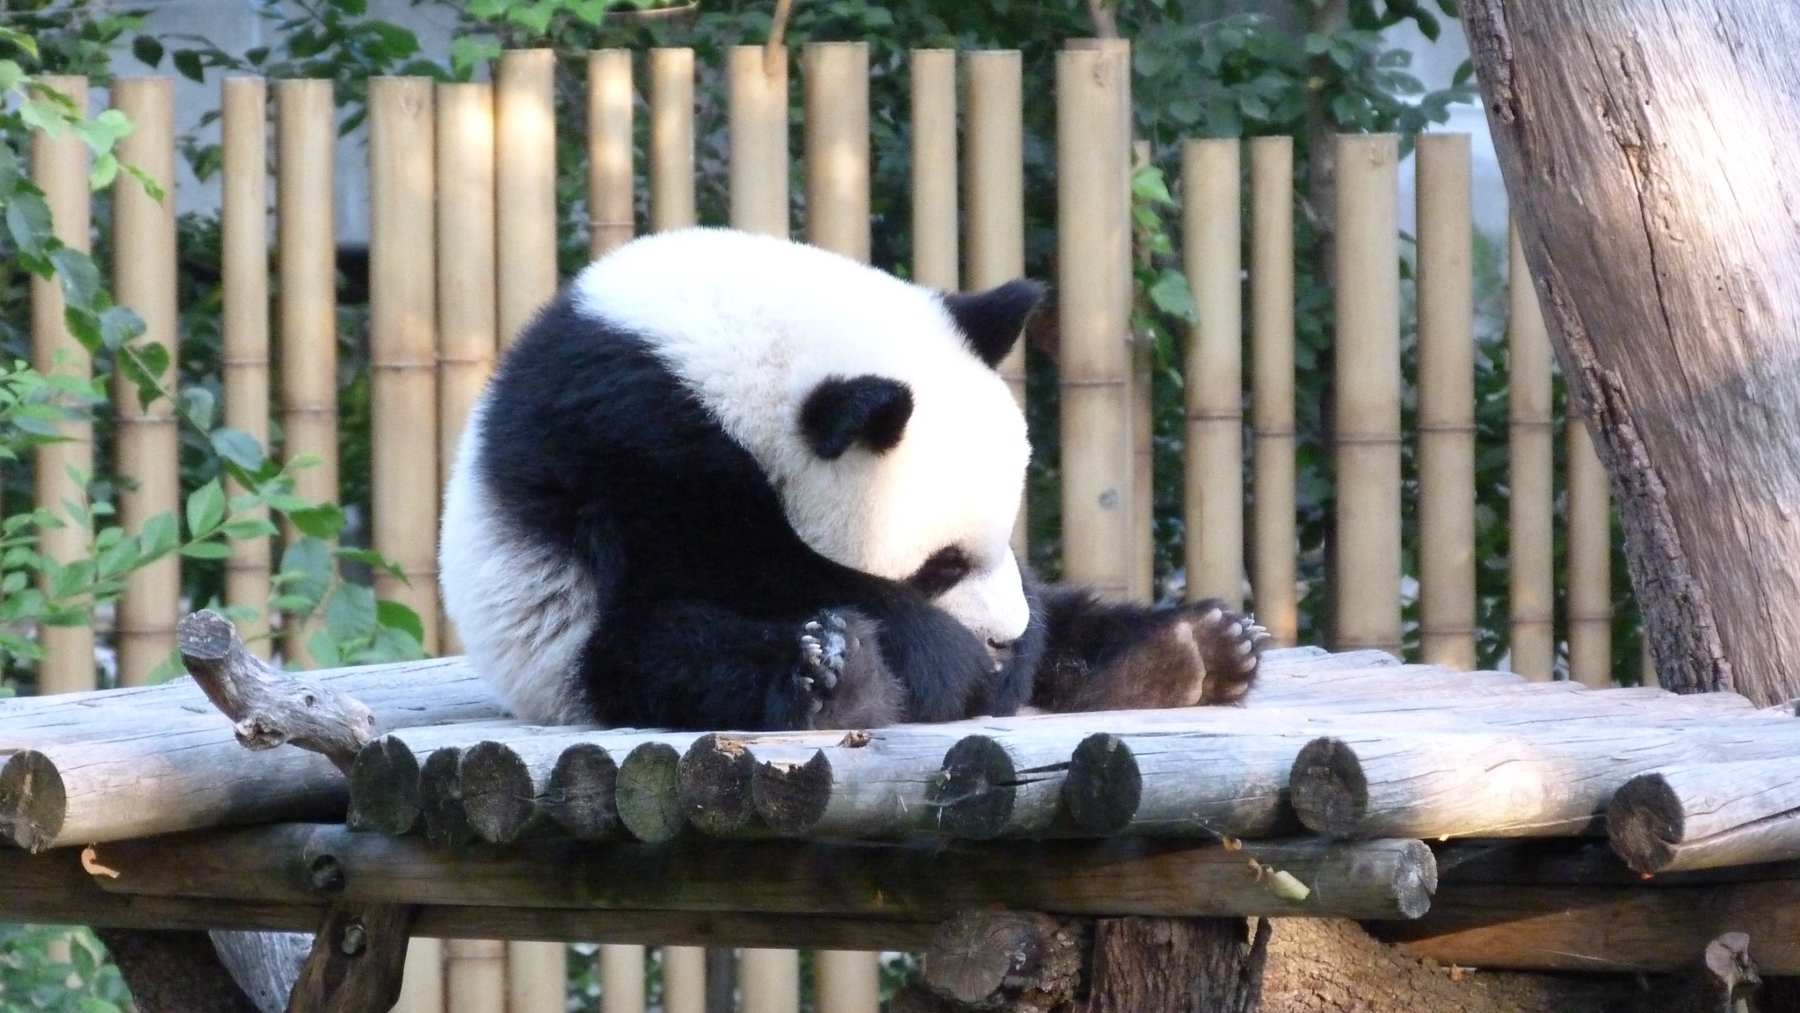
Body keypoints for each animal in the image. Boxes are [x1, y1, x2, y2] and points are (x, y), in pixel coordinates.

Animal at [442, 228, 1274, 730]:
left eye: (1002, 533)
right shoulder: (628, 440)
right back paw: (839, 678)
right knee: (666, 655)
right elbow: (734, 566)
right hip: (558, 654)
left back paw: (1191, 651)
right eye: (941, 566)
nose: (1004, 634)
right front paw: (959, 661)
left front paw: (1019, 649)